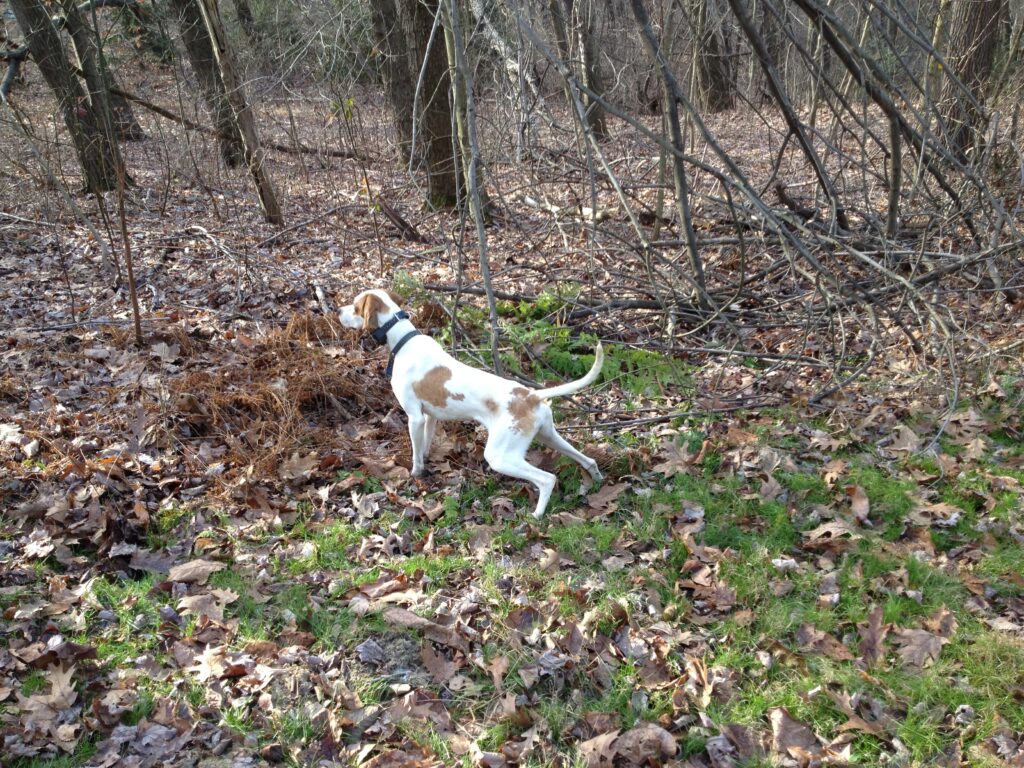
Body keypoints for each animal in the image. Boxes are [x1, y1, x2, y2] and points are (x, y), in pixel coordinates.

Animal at [339, 289, 604, 518]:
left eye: (354, 306)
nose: (338, 310)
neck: (403, 340)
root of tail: (531, 395)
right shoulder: (429, 417)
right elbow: (425, 445)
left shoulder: (414, 417)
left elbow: (416, 455)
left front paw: (415, 474)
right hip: (548, 436)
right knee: (588, 461)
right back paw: (597, 483)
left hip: (500, 456)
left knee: (547, 479)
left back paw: (537, 515)